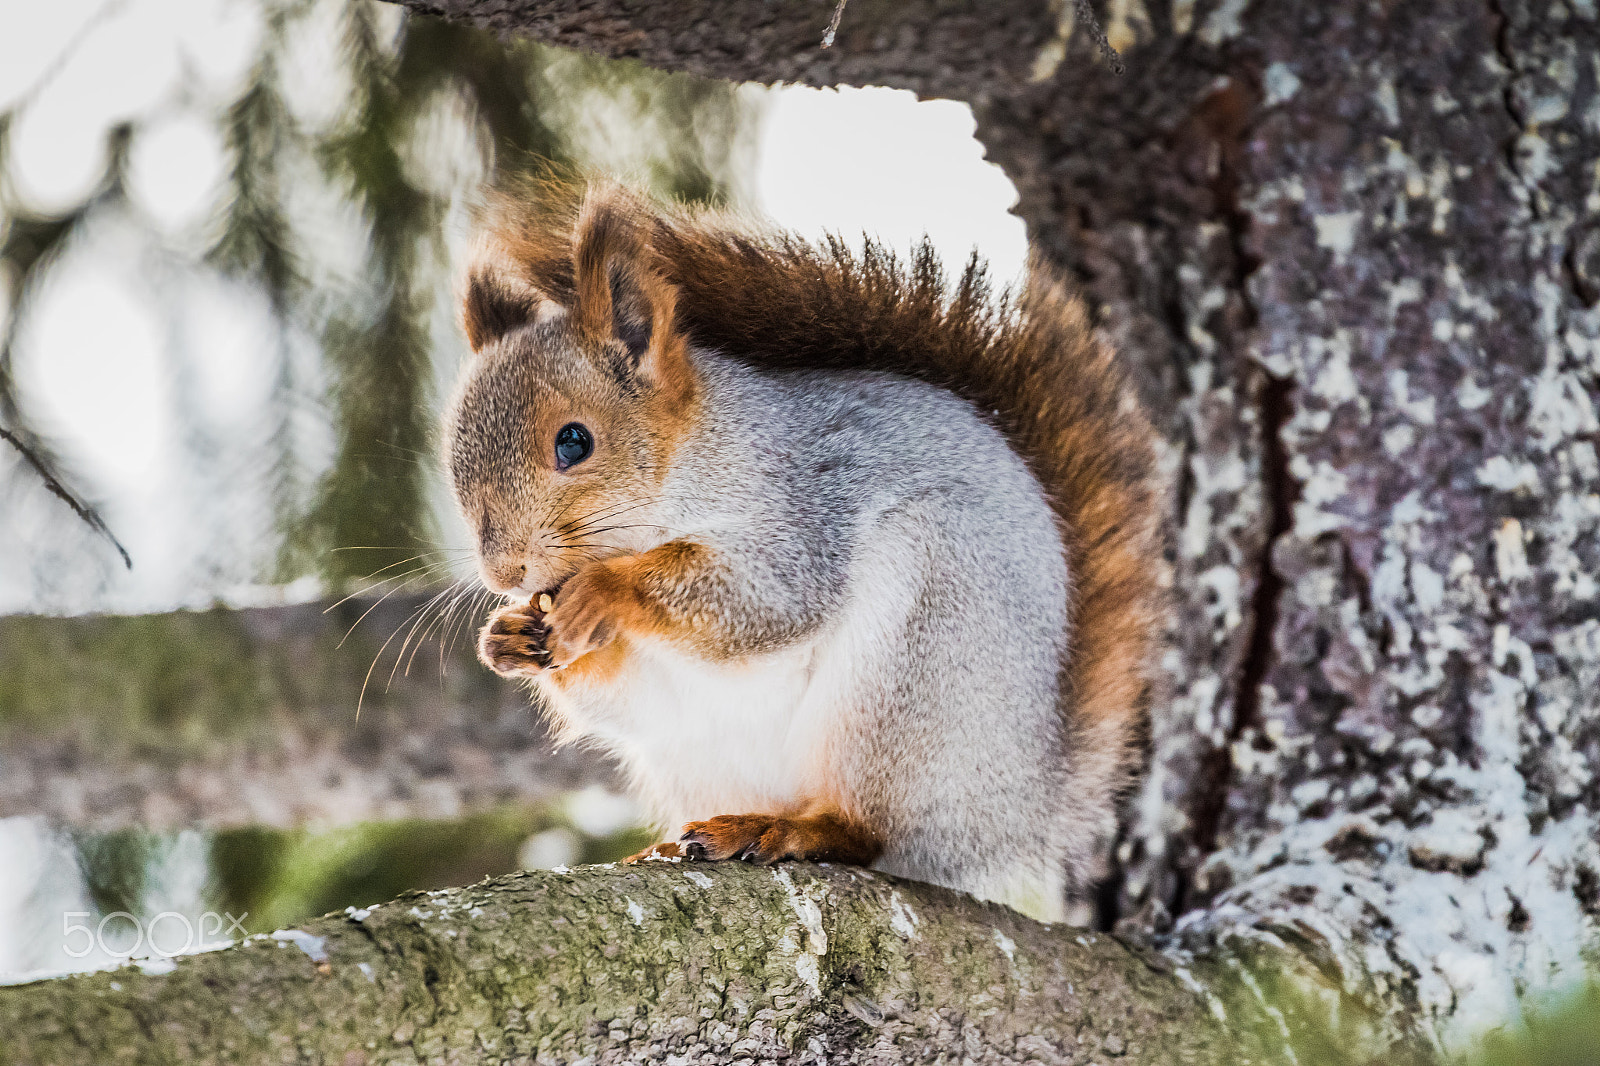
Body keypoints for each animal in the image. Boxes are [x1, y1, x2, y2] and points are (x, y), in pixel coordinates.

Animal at [445, 176, 1164, 917]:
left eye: (575, 441)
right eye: (453, 455)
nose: (504, 571)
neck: (689, 466)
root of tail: (1028, 807)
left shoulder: (804, 517)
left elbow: (765, 601)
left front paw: (604, 589)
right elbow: (618, 695)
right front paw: (507, 637)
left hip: (916, 670)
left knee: (870, 831)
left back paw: (792, 829)